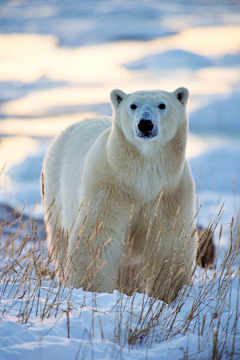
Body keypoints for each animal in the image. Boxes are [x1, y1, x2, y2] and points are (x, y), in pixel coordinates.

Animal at [42, 88, 197, 304]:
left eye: (162, 105)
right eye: (133, 105)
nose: (145, 123)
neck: (142, 179)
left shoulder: (170, 192)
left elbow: (169, 241)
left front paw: (168, 294)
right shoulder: (109, 186)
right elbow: (98, 236)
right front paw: (90, 290)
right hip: (55, 195)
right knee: (61, 242)